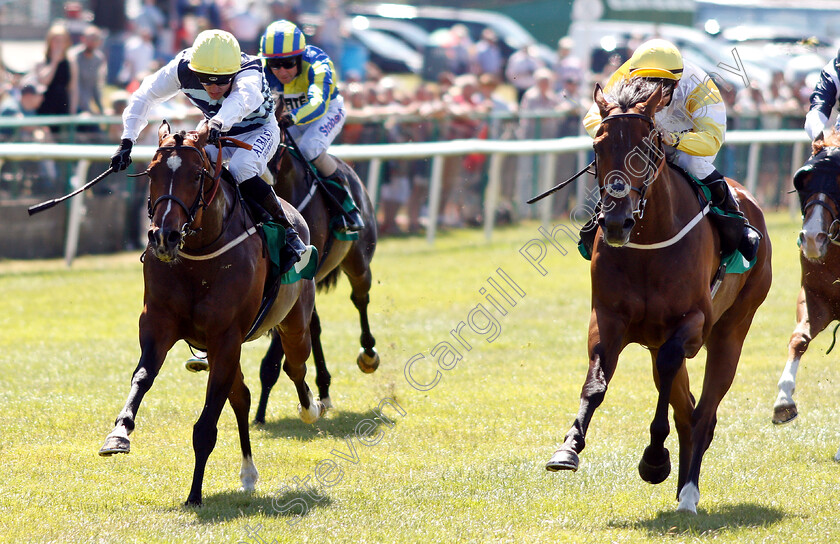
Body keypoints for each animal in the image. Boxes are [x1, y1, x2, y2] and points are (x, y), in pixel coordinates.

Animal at [97, 121, 324, 504]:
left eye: (196, 175)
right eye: (152, 172)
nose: (165, 237)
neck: (199, 256)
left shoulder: (226, 337)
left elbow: (206, 425)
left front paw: (194, 494)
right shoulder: (159, 325)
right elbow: (142, 377)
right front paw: (119, 435)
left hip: (293, 323)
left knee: (295, 365)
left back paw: (311, 408)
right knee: (242, 396)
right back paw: (248, 473)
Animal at [249, 106, 378, 422]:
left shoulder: (295, 279)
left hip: (358, 260)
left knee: (360, 297)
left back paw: (368, 353)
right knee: (316, 324)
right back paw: (324, 389)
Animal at [544, 78, 776, 512]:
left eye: (648, 147)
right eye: (598, 147)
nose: (616, 222)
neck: (648, 245)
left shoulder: (693, 324)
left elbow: (672, 374)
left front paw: (653, 459)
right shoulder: (607, 318)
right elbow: (596, 382)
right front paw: (568, 448)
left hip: (733, 329)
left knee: (704, 413)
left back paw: (689, 494)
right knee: (687, 411)